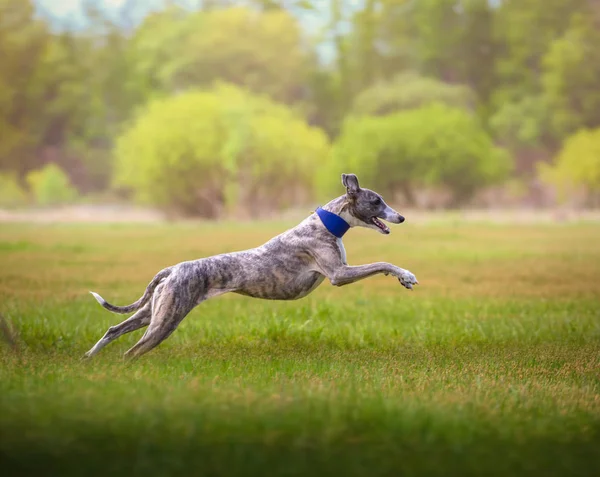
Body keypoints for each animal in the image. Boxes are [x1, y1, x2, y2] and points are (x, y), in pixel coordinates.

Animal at [84, 174, 420, 356]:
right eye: (376, 201)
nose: (402, 217)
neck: (327, 223)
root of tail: (173, 269)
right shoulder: (339, 274)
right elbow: (382, 262)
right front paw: (406, 275)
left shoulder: (341, 271)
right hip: (165, 320)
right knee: (131, 351)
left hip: (152, 312)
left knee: (113, 329)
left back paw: (89, 359)